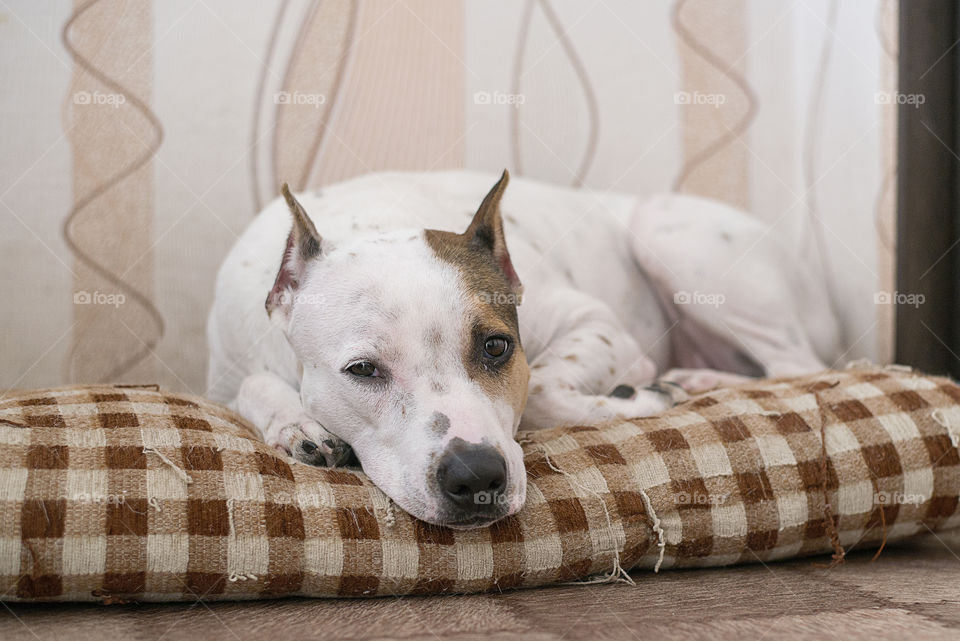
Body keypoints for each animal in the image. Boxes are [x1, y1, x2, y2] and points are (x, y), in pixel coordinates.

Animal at [206, 169, 836, 524]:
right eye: (362, 370)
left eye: (496, 347)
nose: (476, 476)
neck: (371, 221)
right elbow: (253, 386)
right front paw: (298, 424)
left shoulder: (600, 325)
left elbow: (547, 391)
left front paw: (640, 396)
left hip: (669, 234)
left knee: (796, 365)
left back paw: (694, 381)